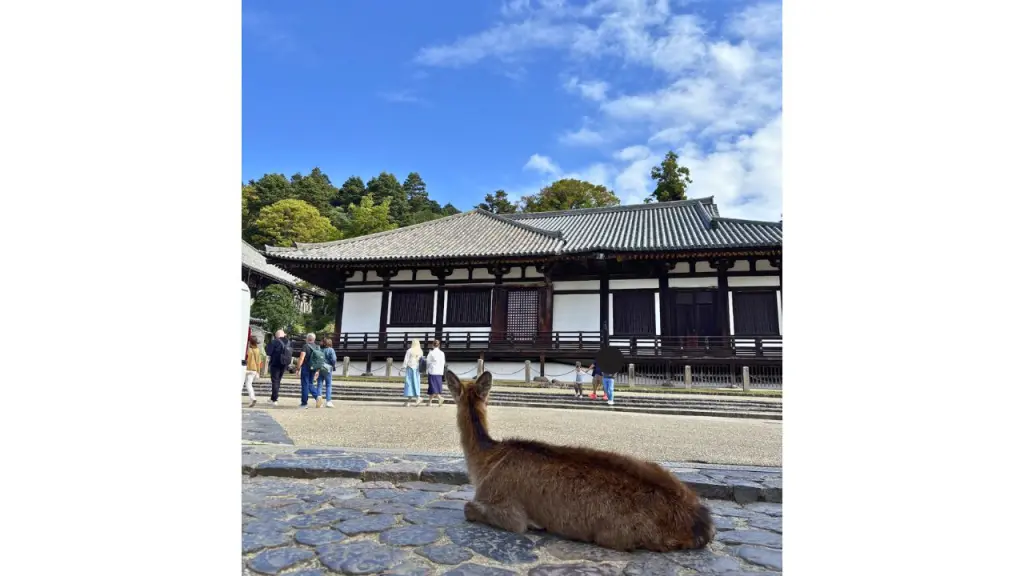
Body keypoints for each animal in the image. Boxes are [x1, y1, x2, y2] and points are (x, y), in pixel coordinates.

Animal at [443, 370, 715, 552]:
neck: (485, 462)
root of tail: (701, 523)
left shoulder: (509, 510)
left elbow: (468, 508)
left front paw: (536, 525)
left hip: (616, 535)